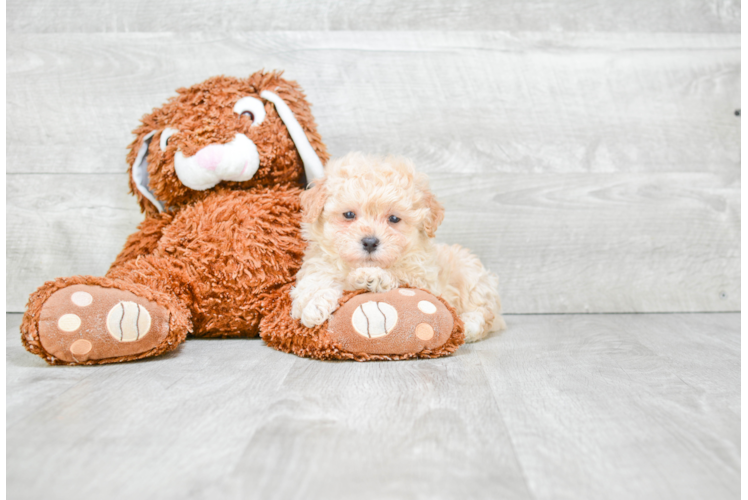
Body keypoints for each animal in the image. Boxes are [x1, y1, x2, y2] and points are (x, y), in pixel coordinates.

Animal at [290, 152, 506, 342]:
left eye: (394, 219)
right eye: (349, 215)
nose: (370, 242)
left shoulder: (426, 281)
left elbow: (401, 277)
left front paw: (373, 277)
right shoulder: (318, 266)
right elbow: (312, 284)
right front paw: (314, 306)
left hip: (472, 277)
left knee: (485, 314)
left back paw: (467, 325)